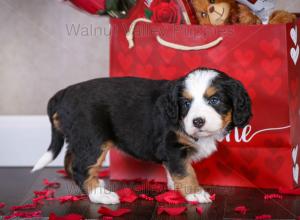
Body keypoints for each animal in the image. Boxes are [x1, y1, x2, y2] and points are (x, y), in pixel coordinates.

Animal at [31, 67, 252, 205]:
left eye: (215, 100)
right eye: (186, 103)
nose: (197, 121)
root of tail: (63, 93)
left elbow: (174, 170)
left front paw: (174, 186)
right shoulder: (173, 147)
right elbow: (185, 171)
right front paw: (195, 193)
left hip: (79, 138)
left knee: (70, 162)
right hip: (93, 139)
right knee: (80, 167)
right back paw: (100, 195)